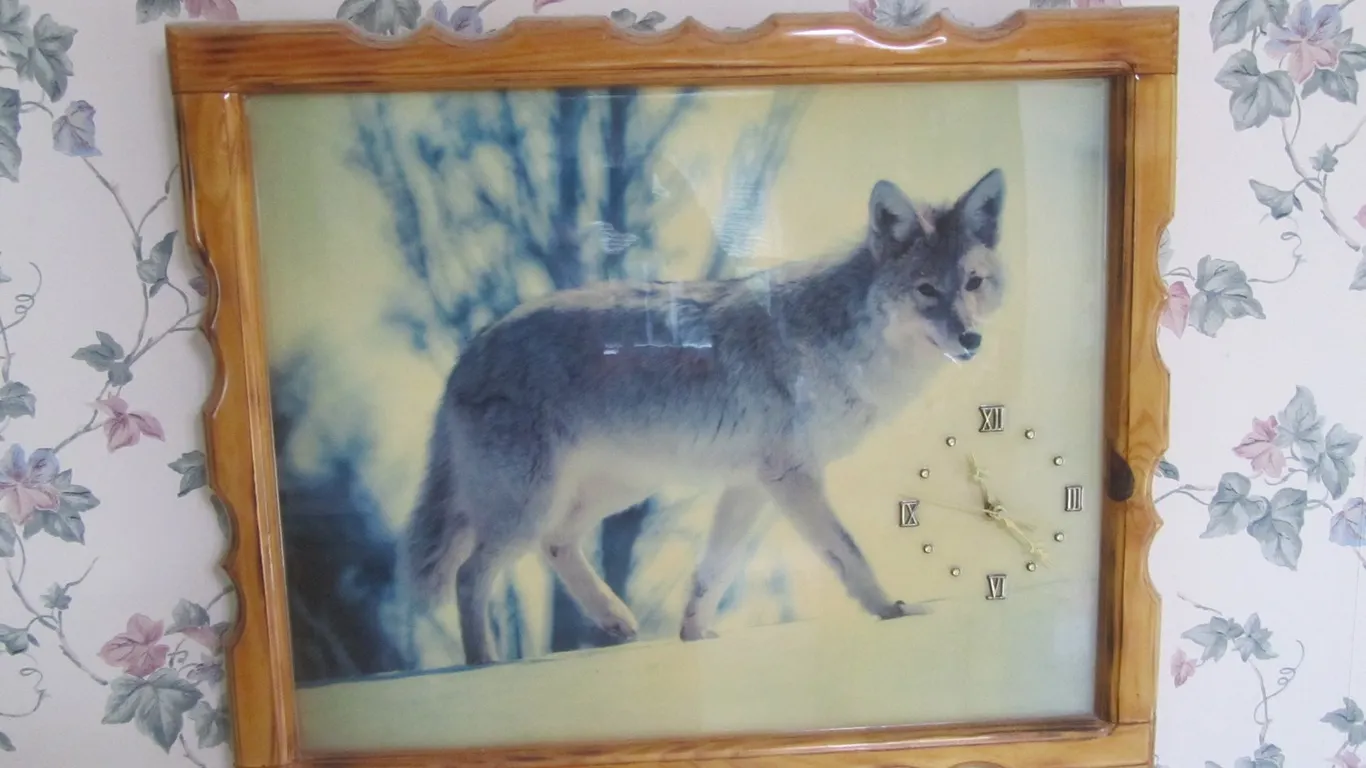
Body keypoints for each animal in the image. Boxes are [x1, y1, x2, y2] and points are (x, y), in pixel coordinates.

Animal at [402, 168, 1006, 666]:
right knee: (469, 575)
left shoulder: (752, 485)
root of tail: (469, 349)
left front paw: (695, 639)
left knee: (554, 543)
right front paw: (893, 611)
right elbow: (846, 552)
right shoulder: (791, 477)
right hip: (530, 507)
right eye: (926, 289)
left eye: (973, 283)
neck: (847, 340)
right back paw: (484, 665)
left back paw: (615, 621)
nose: (971, 339)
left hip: (613, 491)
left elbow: (712, 573)